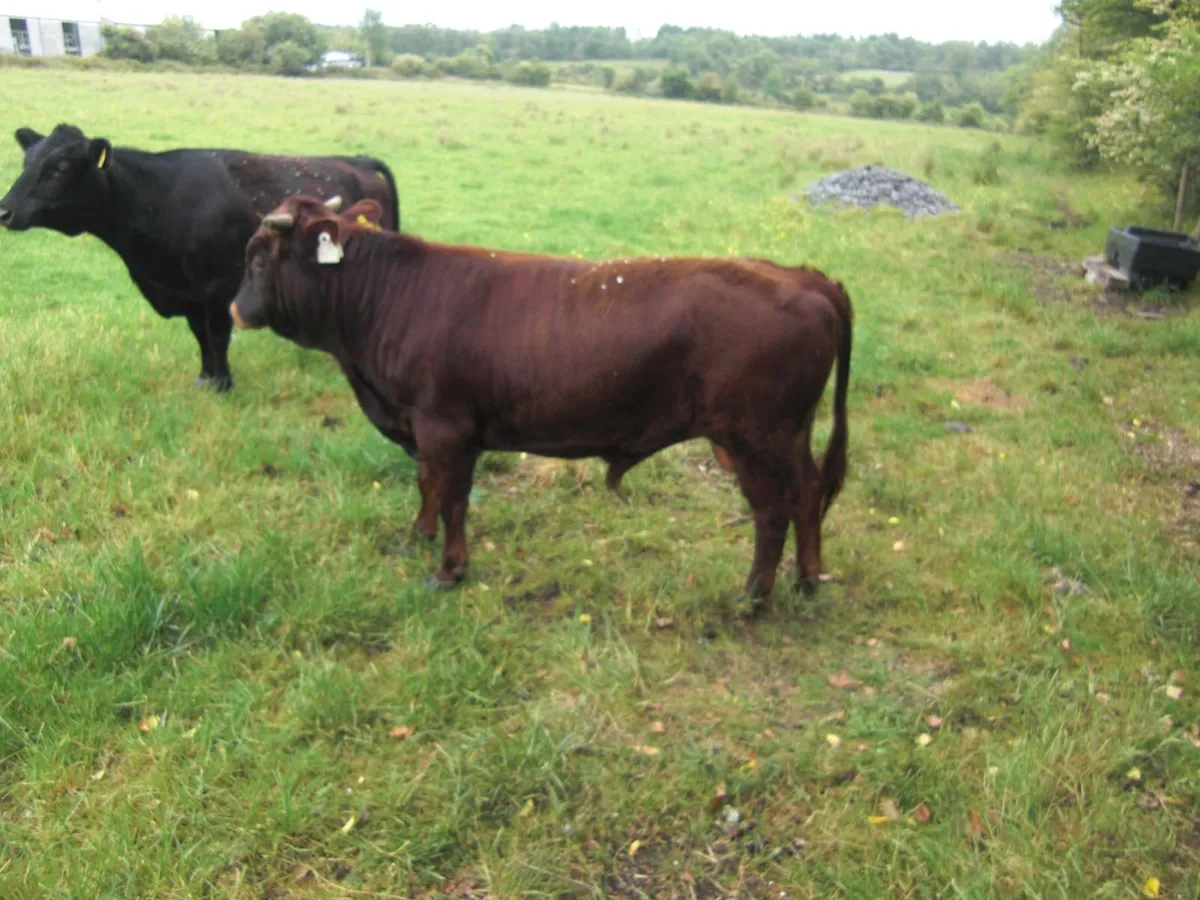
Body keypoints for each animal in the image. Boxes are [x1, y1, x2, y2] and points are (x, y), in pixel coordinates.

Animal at [0, 123, 400, 392]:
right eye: (27, 162)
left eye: (60, 168)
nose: (4, 210)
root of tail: (358, 160)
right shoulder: (187, 293)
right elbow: (201, 338)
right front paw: (206, 378)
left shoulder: (218, 289)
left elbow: (217, 336)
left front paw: (222, 384)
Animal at [230, 195, 853, 602]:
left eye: (258, 256)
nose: (235, 309)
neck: (389, 296)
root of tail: (803, 278)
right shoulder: (424, 429)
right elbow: (427, 486)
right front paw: (416, 537)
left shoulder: (445, 428)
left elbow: (452, 497)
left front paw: (449, 570)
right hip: (790, 433)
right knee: (809, 493)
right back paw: (805, 578)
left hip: (754, 438)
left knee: (773, 509)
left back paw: (753, 597)